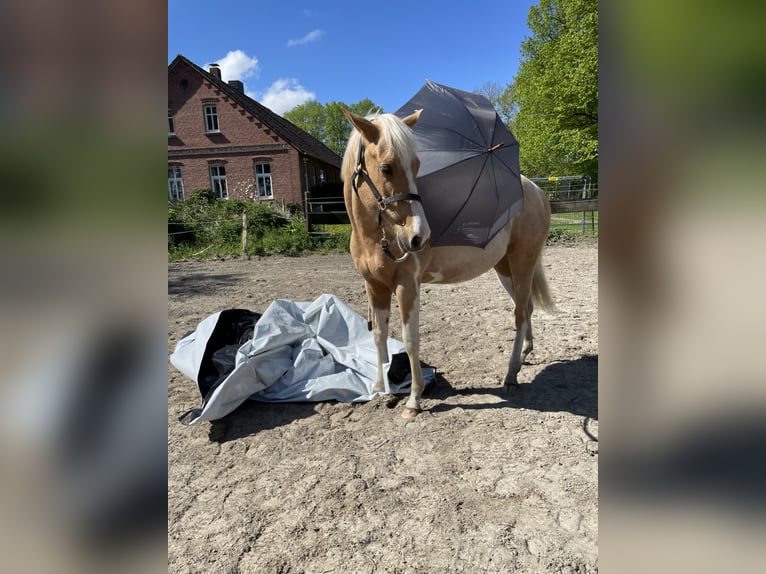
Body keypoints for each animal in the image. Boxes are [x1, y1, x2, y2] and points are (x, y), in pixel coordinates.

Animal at [341, 109, 555, 418]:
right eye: (386, 168)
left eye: (417, 164)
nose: (418, 236)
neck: (376, 237)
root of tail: (536, 190)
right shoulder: (374, 286)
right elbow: (378, 335)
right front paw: (380, 390)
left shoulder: (407, 286)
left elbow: (410, 339)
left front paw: (413, 401)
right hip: (505, 269)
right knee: (525, 308)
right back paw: (524, 356)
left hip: (522, 262)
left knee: (520, 315)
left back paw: (510, 376)